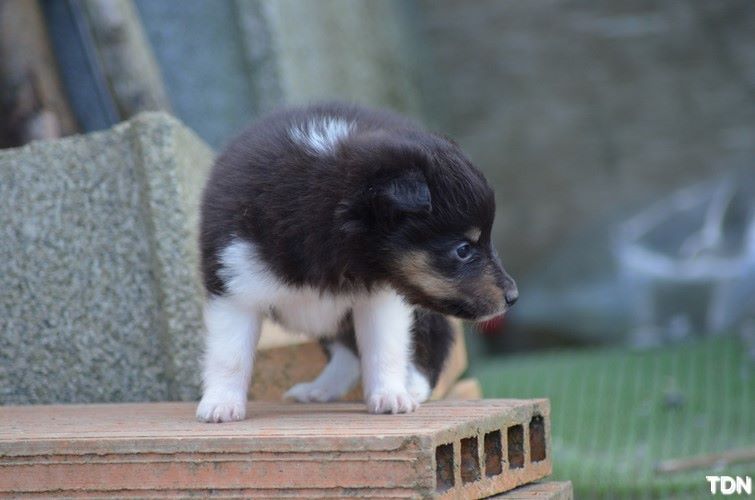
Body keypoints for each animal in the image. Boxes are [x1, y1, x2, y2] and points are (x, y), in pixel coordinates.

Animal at [196, 102, 518, 422]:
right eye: (463, 249)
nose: (513, 296)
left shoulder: (380, 298)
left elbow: (384, 349)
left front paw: (390, 396)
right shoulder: (235, 284)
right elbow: (229, 354)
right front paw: (221, 404)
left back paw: (411, 387)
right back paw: (321, 389)